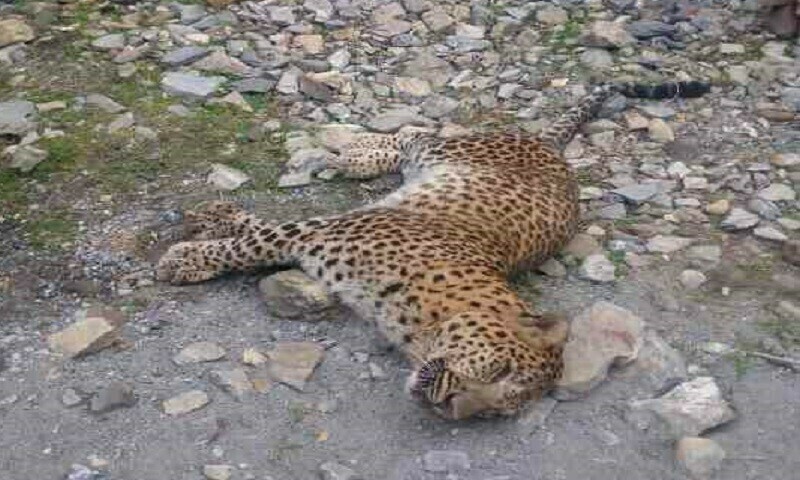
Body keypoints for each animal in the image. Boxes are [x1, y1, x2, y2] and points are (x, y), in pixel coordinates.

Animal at [157, 80, 710, 420]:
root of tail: (553, 149)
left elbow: (253, 232)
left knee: (412, 140)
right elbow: (247, 243)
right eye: (499, 372)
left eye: (492, 412)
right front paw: (184, 257)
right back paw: (355, 152)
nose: (450, 409)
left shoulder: (317, 236)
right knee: (416, 134)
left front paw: (209, 225)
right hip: (451, 150)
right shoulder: (321, 230)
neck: (418, 316)